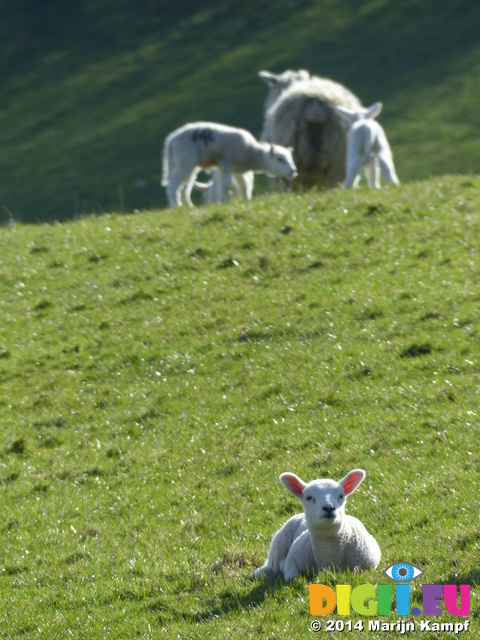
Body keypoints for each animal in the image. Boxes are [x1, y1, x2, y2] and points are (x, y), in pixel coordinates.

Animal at [161, 122, 296, 208]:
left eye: (290, 158)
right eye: (279, 159)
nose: (293, 171)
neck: (251, 152)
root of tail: (171, 140)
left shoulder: (238, 171)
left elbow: (244, 185)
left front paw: (246, 200)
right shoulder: (226, 164)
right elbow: (226, 184)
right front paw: (224, 201)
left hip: (190, 164)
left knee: (185, 186)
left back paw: (188, 205)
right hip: (184, 160)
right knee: (174, 183)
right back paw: (175, 205)